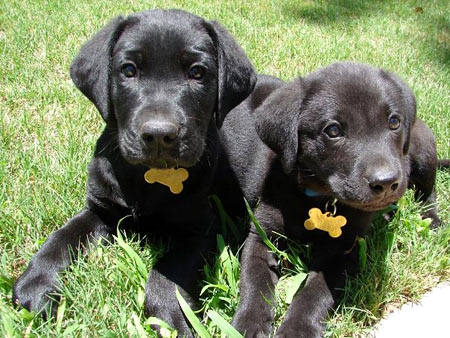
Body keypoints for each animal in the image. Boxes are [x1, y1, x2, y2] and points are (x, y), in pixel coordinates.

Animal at [12, 8, 255, 336]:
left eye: (197, 72)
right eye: (128, 70)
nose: (159, 135)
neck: (150, 178)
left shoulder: (203, 228)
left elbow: (167, 272)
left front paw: (171, 318)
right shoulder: (101, 210)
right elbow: (61, 237)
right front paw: (36, 283)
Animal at [223, 62, 442, 336]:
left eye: (394, 122)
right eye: (333, 130)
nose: (386, 182)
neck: (319, 199)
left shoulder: (343, 250)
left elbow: (315, 293)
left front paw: (297, 329)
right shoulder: (262, 234)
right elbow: (254, 279)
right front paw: (249, 322)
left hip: (422, 149)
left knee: (427, 191)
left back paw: (431, 218)